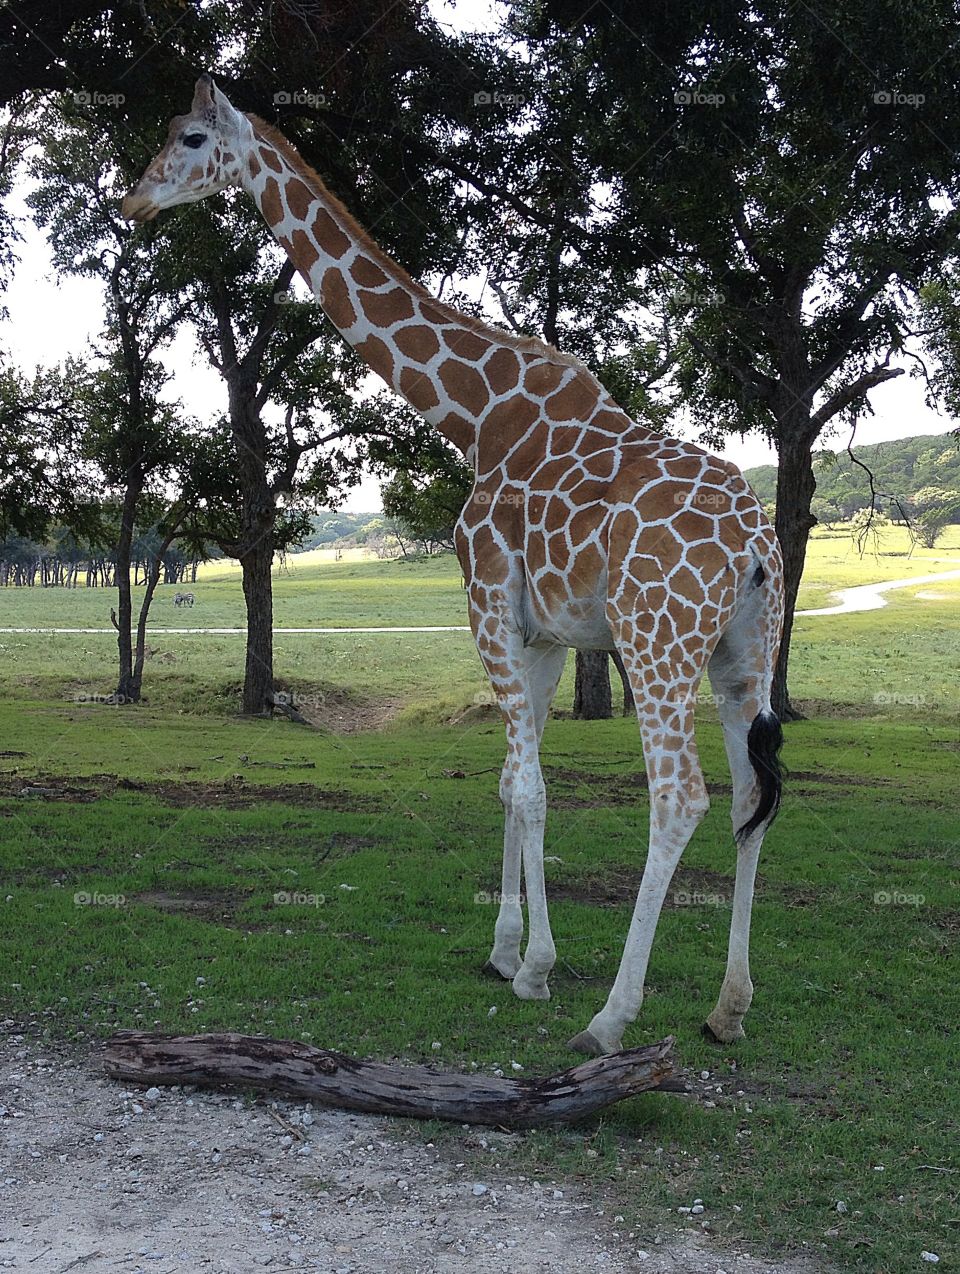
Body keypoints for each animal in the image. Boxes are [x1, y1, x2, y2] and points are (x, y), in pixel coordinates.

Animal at [122, 75, 785, 1056]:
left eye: (192, 137)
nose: (132, 202)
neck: (475, 414)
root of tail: (753, 546)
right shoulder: (542, 632)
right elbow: (516, 780)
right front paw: (506, 952)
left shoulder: (487, 605)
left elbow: (529, 785)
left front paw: (538, 967)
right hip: (744, 655)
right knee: (750, 795)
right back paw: (728, 1006)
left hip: (658, 642)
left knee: (681, 798)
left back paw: (610, 1018)